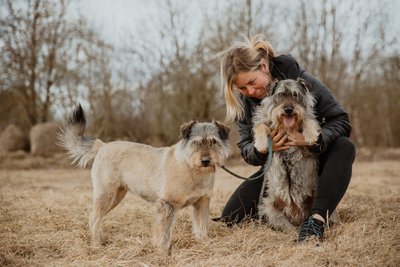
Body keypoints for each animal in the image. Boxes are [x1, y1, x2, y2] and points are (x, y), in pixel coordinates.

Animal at [253, 78, 322, 231]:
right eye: (280, 95)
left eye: (295, 95)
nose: (289, 109)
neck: (287, 128)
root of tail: (297, 216)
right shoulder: (265, 122)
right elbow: (260, 125)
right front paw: (261, 143)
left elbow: (308, 119)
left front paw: (310, 136)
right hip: (269, 208)